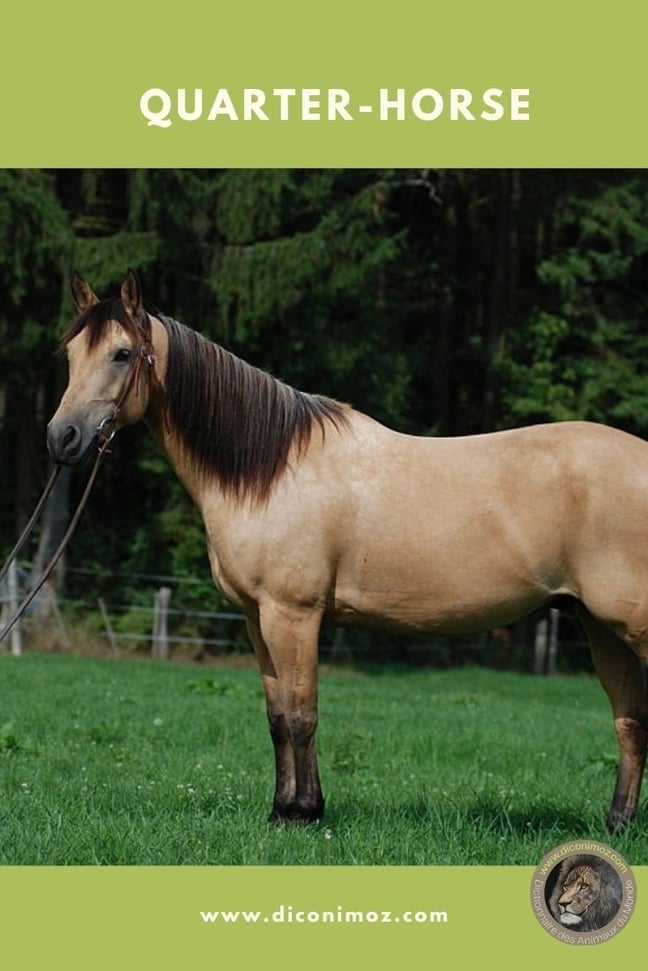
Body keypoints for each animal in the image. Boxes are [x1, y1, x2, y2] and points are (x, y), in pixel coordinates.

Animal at [46, 269, 648, 829]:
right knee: (629, 720)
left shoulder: (294, 615)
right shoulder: (257, 617)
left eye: (122, 353)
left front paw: (305, 812)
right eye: (70, 353)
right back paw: (616, 823)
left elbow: (301, 715)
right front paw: (282, 811)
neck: (270, 472)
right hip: (599, 626)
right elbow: (276, 716)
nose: (62, 438)